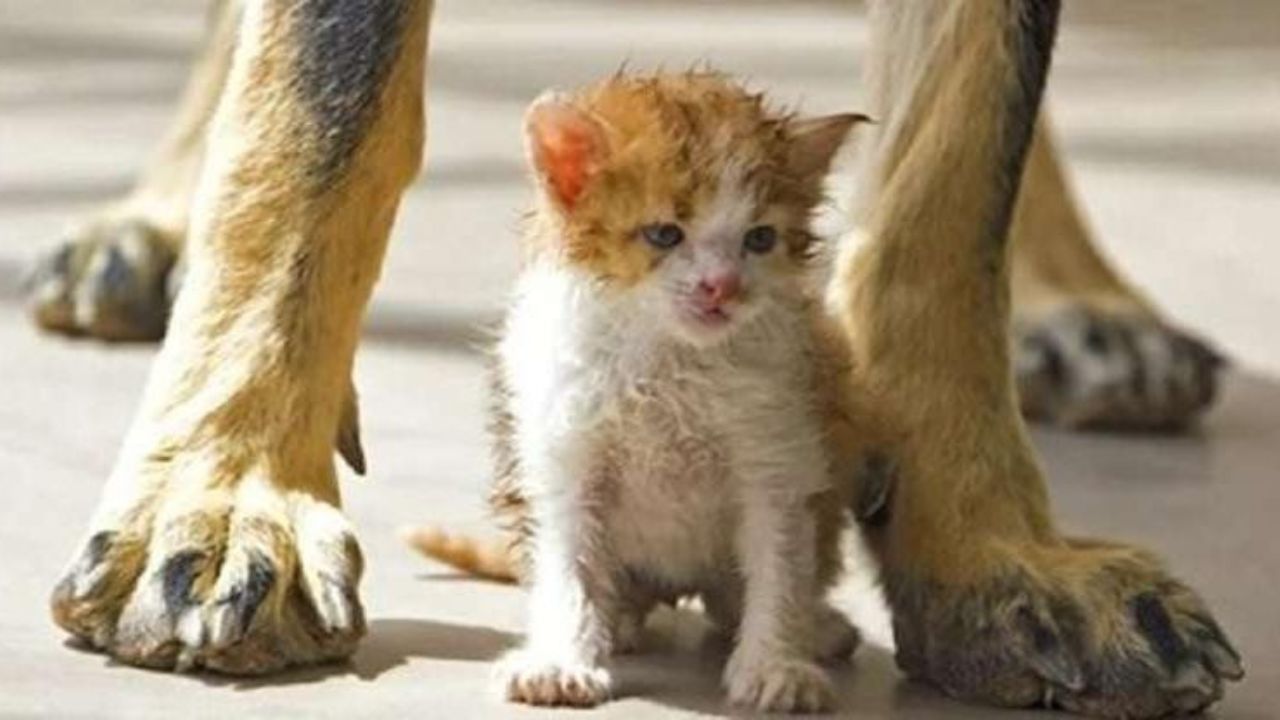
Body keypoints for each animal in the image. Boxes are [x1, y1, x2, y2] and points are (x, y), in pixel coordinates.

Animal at [409, 70, 870, 707]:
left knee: (740, 592)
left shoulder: (777, 449)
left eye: (759, 239)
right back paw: (617, 620)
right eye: (664, 234)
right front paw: (561, 660)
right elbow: (567, 560)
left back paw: (813, 626)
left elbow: (778, 562)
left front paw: (776, 664)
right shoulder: (562, 450)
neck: (669, 360)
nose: (721, 287)